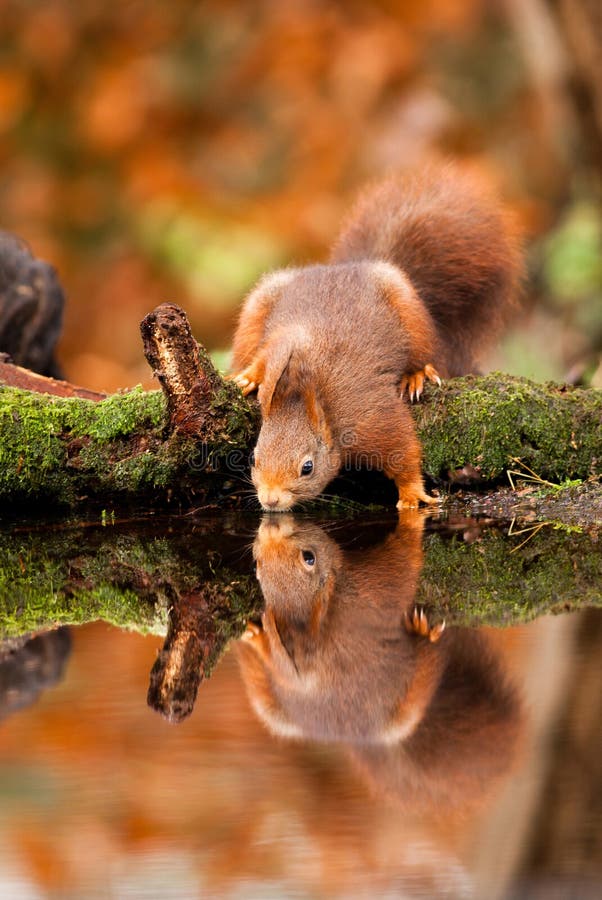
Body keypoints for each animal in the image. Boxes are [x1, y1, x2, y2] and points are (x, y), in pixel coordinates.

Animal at [230, 162, 520, 510]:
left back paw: (416, 374)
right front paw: (250, 376)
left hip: (412, 316)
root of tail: (354, 266)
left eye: (307, 467)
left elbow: (403, 449)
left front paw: (412, 493)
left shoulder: (371, 418)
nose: (270, 500)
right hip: (260, 302)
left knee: (424, 352)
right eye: (253, 459)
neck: (306, 388)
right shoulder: (284, 342)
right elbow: (264, 356)